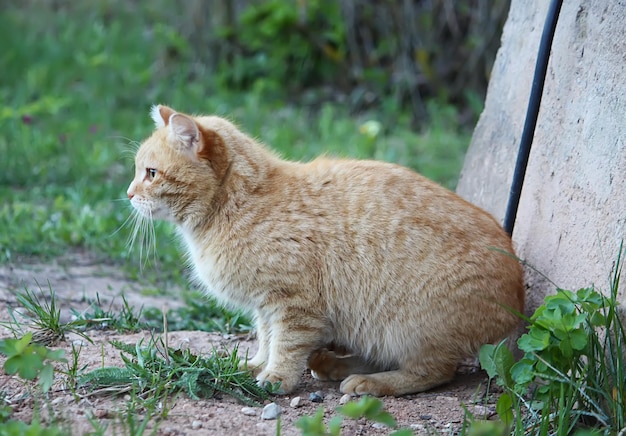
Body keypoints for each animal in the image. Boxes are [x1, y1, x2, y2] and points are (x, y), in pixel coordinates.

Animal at [125, 104, 520, 396]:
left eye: (151, 173)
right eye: (139, 171)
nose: (128, 194)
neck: (241, 206)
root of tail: (518, 297)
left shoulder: (293, 303)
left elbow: (286, 345)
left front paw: (276, 378)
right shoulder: (266, 305)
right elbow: (266, 338)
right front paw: (258, 365)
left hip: (408, 326)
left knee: (433, 371)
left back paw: (368, 383)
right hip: (377, 329)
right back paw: (334, 364)